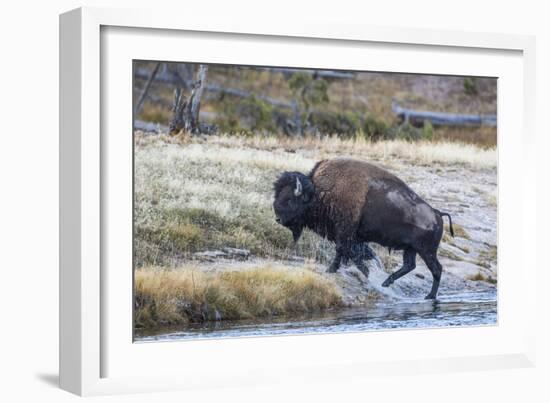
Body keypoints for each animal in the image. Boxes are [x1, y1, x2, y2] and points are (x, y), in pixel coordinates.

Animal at [272, 159, 458, 300]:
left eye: (289, 199)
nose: (278, 219)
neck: (320, 192)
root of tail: (437, 213)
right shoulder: (347, 236)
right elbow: (349, 252)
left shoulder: (345, 233)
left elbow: (344, 251)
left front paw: (338, 269)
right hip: (411, 249)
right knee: (410, 265)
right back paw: (386, 283)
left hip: (426, 251)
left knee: (436, 269)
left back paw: (429, 296)